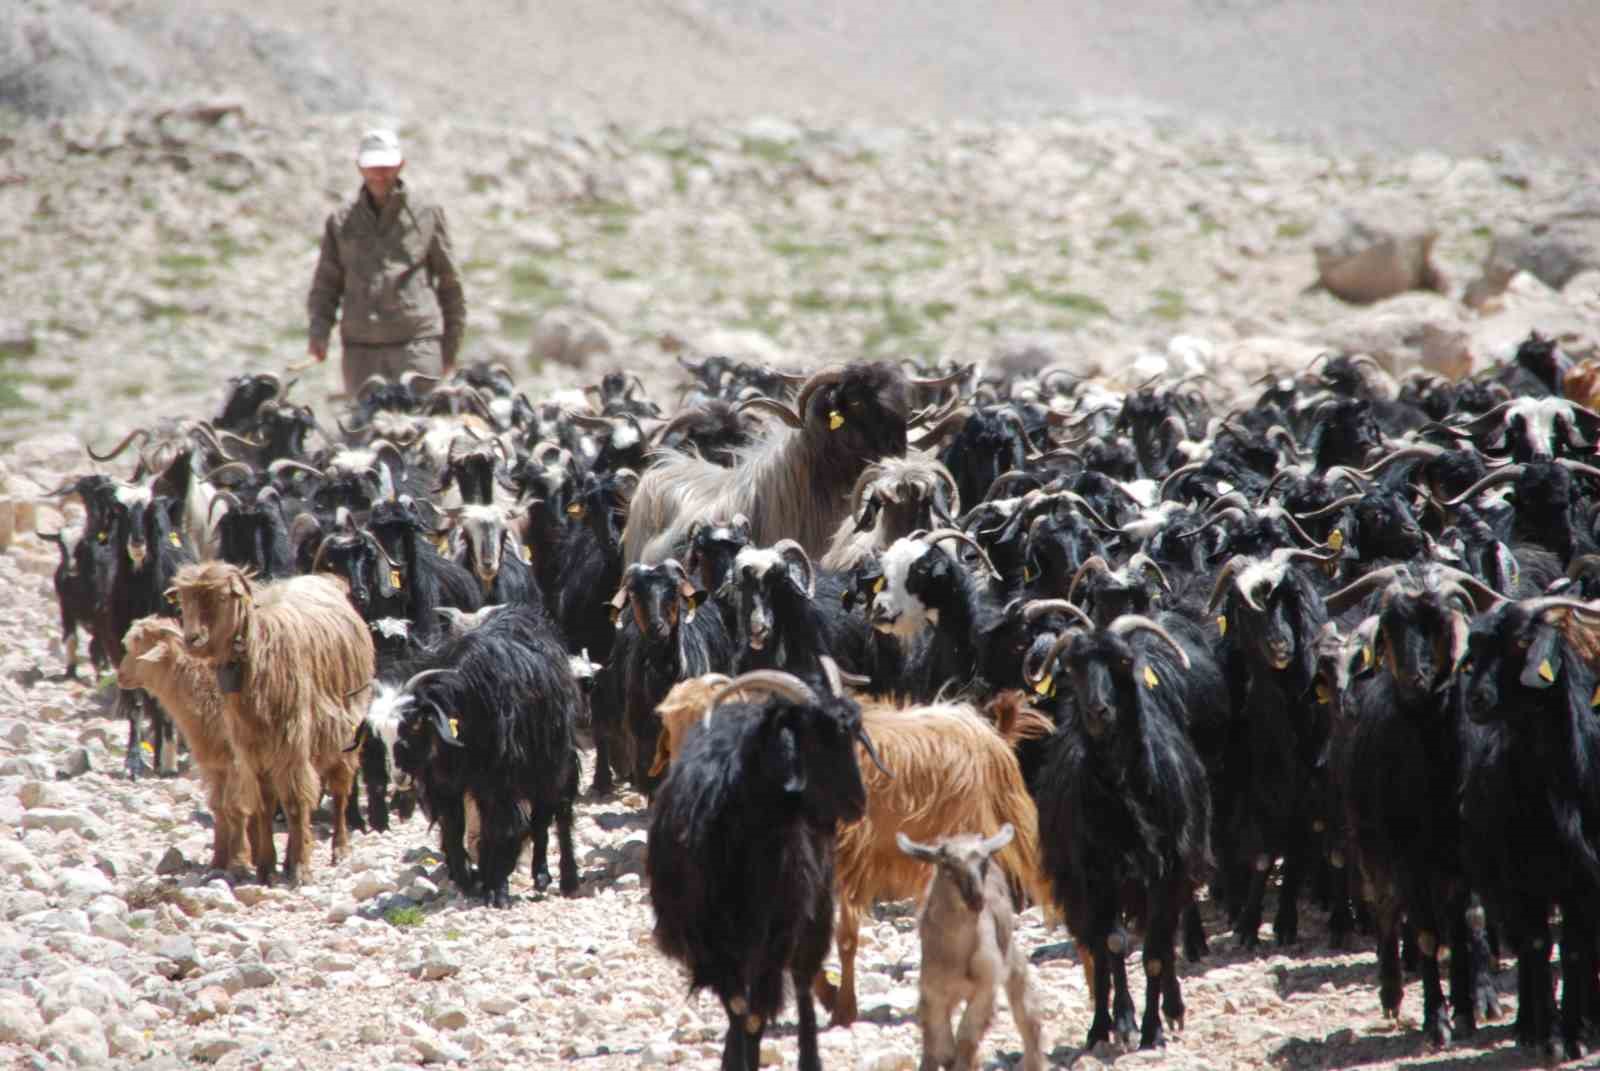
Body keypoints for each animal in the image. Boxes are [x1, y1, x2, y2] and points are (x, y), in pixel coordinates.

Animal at [118, 614, 257, 870]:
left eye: (140, 649)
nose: (120, 676)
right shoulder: (214, 762)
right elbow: (219, 807)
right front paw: (218, 861)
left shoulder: (237, 762)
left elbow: (236, 807)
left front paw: (240, 860)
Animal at [169, 560, 374, 883]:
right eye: (184, 601)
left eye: (222, 598)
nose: (192, 640)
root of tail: (328, 580)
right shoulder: (253, 752)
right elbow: (266, 806)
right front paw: (267, 866)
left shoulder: (291, 742)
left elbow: (294, 804)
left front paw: (301, 868)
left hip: (344, 728)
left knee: (339, 790)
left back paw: (339, 848)